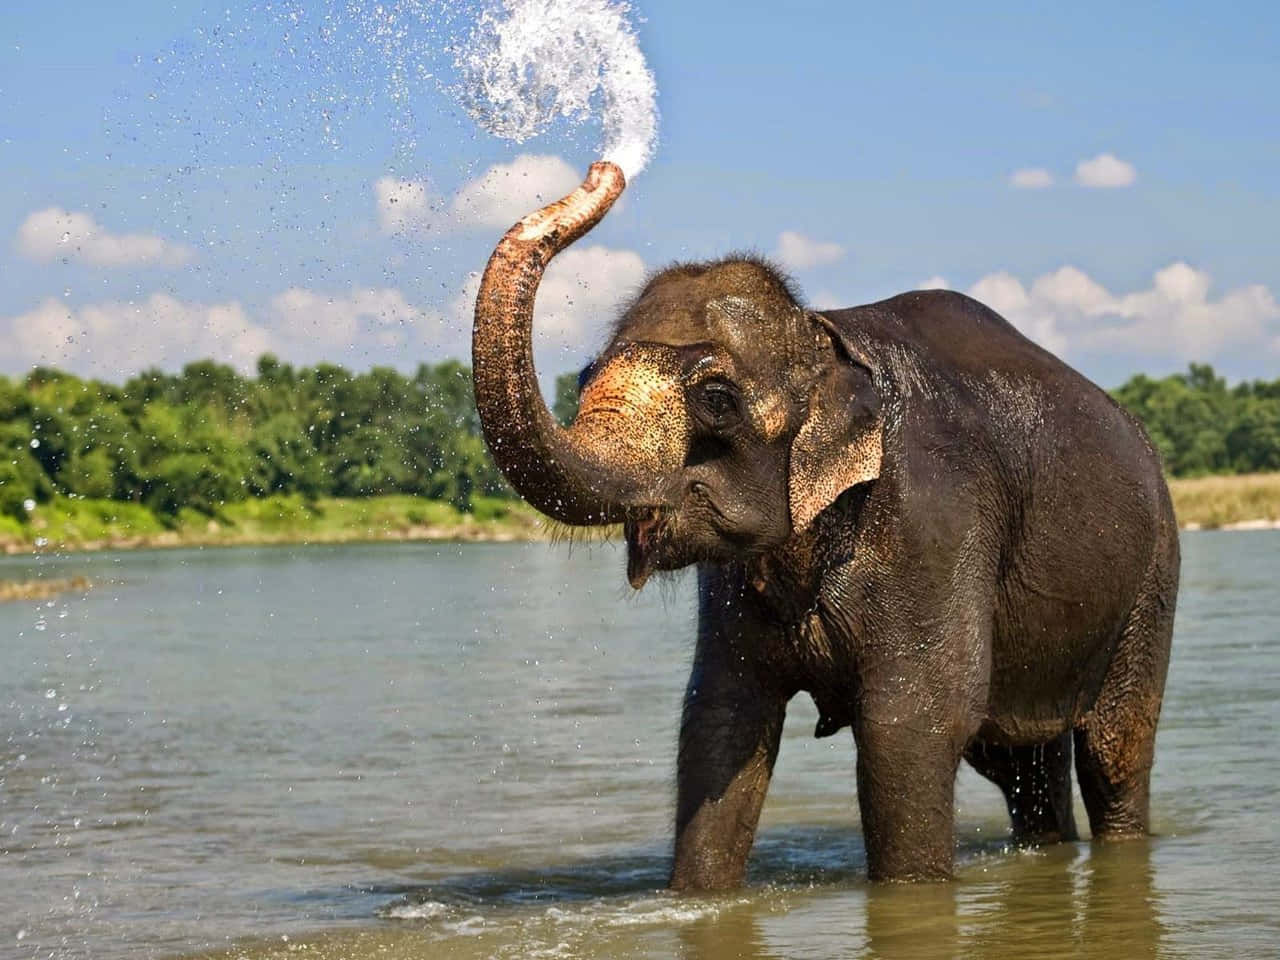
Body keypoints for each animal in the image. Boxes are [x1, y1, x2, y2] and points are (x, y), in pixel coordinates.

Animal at [471, 162, 1178, 888]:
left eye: (716, 399)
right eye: (584, 374)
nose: (603, 170)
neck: (824, 335)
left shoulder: (935, 522)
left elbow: (911, 726)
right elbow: (721, 721)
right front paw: (697, 895)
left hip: (1153, 574)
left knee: (1113, 751)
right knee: (1017, 762)